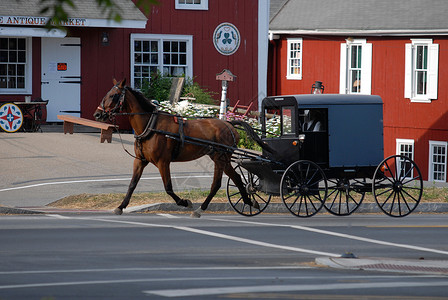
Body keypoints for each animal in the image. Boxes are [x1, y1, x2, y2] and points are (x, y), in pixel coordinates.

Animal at [93, 78, 272, 217]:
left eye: (113, 95)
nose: (97, 114)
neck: (151, 125)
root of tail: (228, 123)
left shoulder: (163, 162)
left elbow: (168, 187)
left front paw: (185, 202)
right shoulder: (140, 161)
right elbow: (132, 184)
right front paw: (121, 206)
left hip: (221, 158)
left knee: (218, 183)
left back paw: (203, 208)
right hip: (221, 158)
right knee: (235, 178)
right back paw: (249, 202)